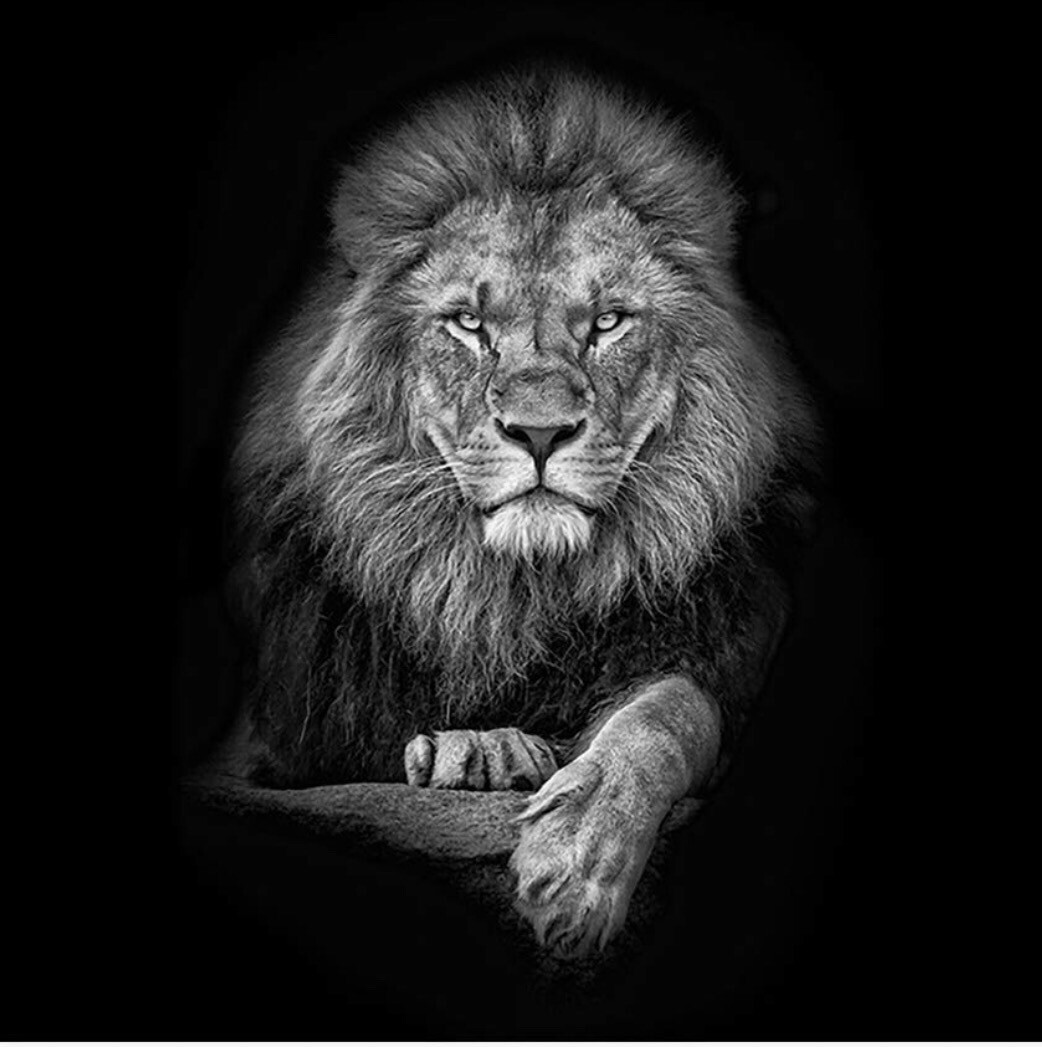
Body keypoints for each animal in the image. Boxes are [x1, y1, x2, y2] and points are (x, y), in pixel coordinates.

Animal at [224, 63, 821, 959]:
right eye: (470, 324)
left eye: (607, 321)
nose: (540, 432)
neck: (511, 593)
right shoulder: (283, 730)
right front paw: (482, 747)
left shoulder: (718, 646)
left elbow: (668, 714)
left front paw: (578, 860)